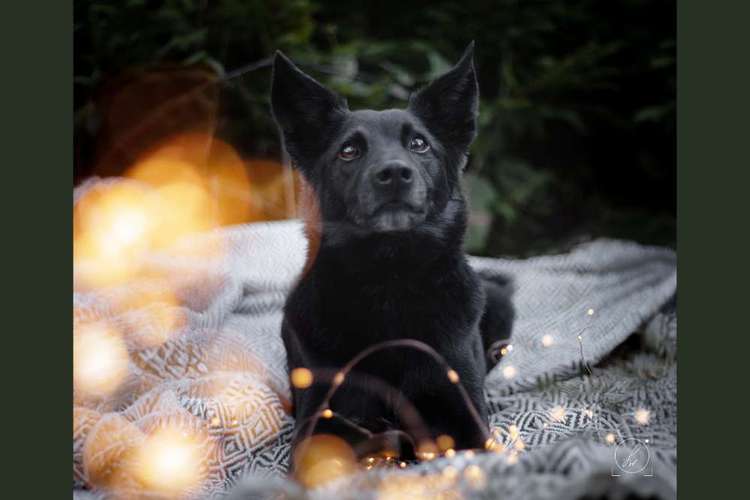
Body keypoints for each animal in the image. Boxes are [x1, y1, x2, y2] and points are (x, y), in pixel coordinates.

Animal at [272, 43, 516, 464]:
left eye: (419, 144)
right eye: (348, 151)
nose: (395, 174)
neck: (389, 279)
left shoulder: (469, 420)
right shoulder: (315, 422)